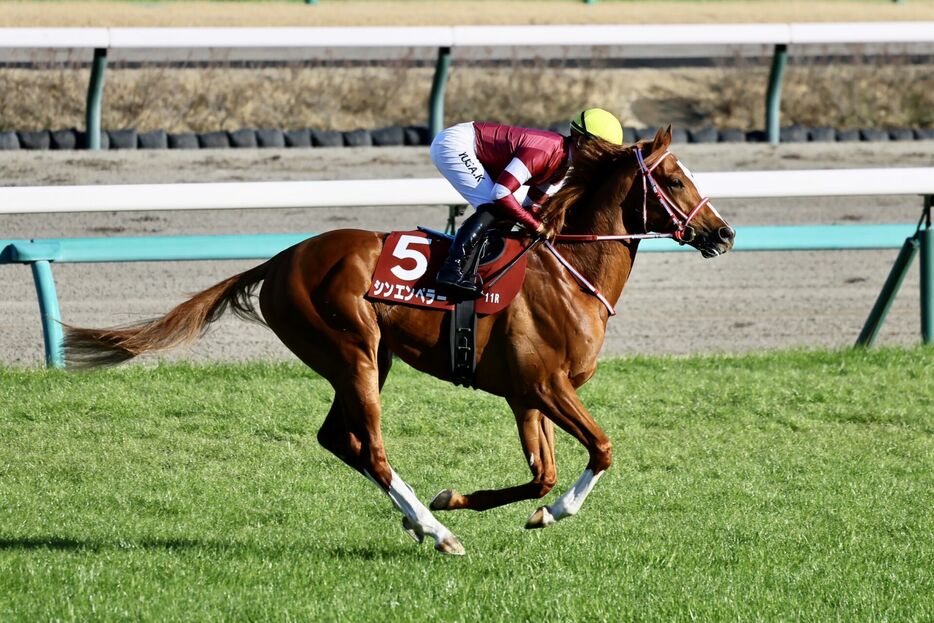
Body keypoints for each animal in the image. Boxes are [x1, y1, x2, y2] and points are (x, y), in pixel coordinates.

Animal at [64, 127, 740, 556]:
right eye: (675, 179)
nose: (724, 234)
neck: (569, 271)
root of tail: (282, 259)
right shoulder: (545, 385)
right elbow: (600, 449)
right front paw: (541, 514)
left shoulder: (528, 393)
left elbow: (542, 476)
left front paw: (473, 500)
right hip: (353, 352)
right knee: (371, 449)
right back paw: (437, 535)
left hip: (367, 359)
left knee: (338, 439)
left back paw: (424, 521)